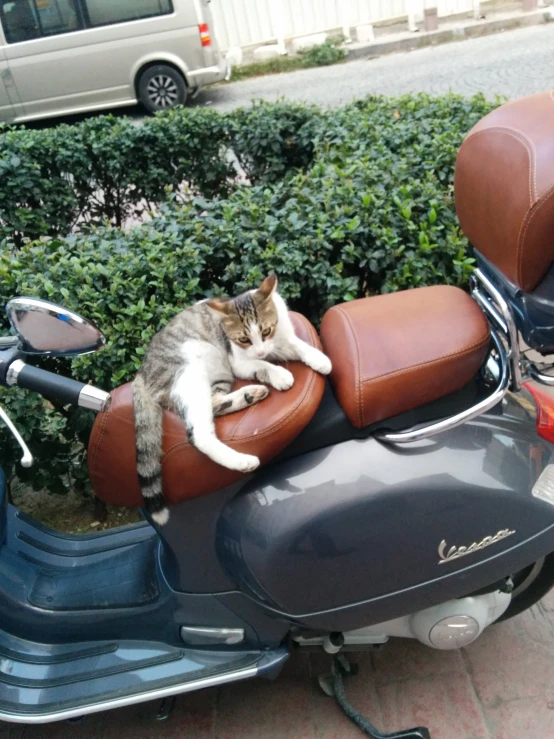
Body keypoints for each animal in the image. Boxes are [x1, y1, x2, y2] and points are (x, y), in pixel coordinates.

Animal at [133, 276, 332, 528]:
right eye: (243, 339)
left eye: (266, 330)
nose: (260, 351)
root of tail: (141, 373)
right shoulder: (239, 362)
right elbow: (262, 365)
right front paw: (279, 374)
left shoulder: (280, 340)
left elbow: (296, 345)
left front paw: (318, 357)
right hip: (191, 373)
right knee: (198, 434)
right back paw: (242, 460)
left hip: (219, 373)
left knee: (216, 402)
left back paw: (248, 395)